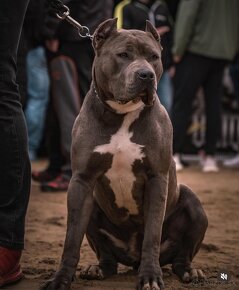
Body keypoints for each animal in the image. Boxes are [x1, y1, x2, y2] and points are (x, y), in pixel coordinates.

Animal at [42, 18, 208, 290]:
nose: (146, 75)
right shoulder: (81, 181)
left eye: (153, 57)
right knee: (107, 257)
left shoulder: (156, 179)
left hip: (192, 203)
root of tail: (132, 260)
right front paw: (61, 278)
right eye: (123, 55)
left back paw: (189, 272)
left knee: (181, 257)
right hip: (94, 205)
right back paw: (97, 269)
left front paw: (150, 277)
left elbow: (152, 234)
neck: (122, 115)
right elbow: (72, 238)